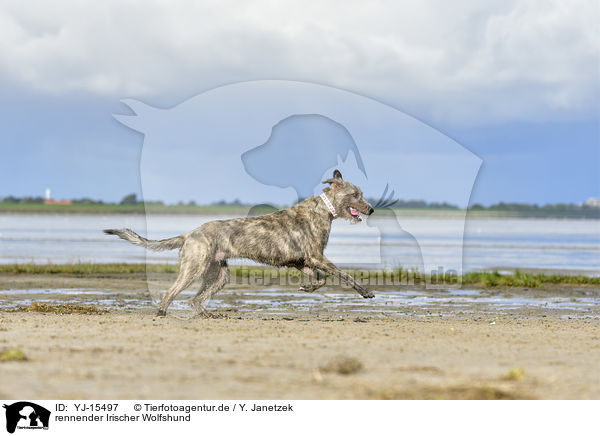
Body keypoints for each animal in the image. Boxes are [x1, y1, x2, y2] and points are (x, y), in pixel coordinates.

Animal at [105, 170, 372, 316]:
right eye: (355, 194)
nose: (370, 209)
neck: (325, 209)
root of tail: (189, 234)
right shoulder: (316, 257)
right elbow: (344, 275)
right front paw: (366, 291)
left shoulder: (302, 261)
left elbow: (321, 279)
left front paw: (307, 288)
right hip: (194, 268)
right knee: (171, 292)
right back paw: (161, 313)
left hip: (219, 274)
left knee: (195, 299)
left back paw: (207, 315)